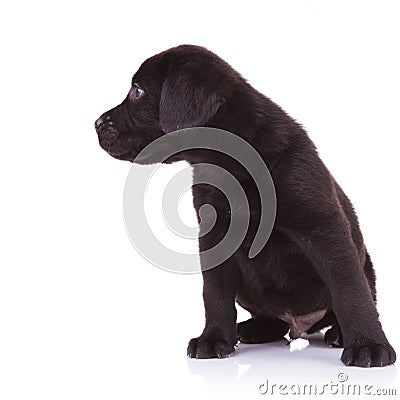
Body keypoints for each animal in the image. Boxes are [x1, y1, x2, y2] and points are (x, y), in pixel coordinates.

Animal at [95, 43, 396, 366]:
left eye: (137, 91)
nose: (96, 123)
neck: (232, 163)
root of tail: (300, 325)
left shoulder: (322, 226)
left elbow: (349, 289)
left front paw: (369, 344)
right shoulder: (214, 236)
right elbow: (214, 292)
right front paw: (213, 338)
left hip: (365, 265)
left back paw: (339, 333)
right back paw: (255, 328)